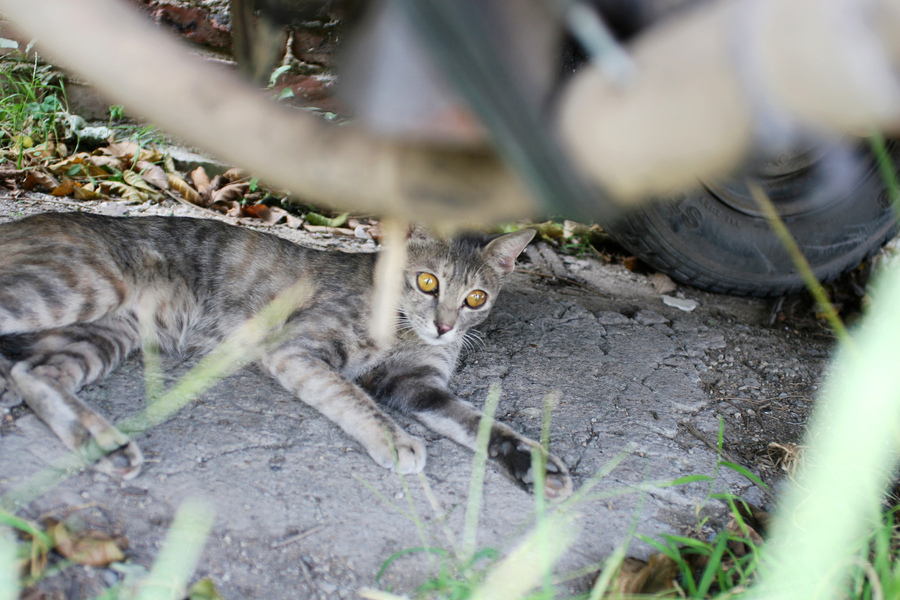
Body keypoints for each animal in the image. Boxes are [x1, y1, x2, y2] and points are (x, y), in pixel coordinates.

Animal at [0, 213, 572, 500]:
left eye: (475, 298)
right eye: (427, 282)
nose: (445, 326)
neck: (406, 329)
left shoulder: (417, 384)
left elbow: (479, 421)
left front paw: (532, 461)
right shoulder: (295, 348)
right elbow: (352, 396)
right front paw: (394, 438)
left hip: (110, 330)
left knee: (37, 371)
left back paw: (103, 443)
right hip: (81, 288)